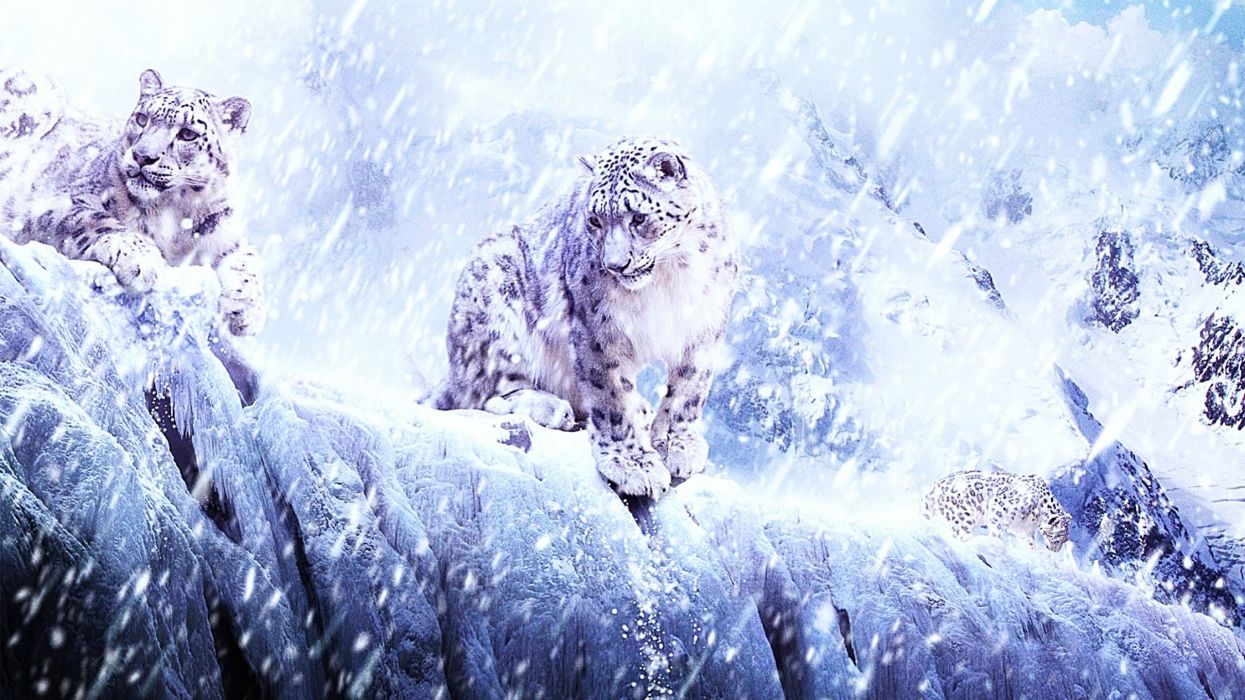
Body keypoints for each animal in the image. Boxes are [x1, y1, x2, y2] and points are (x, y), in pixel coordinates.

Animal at [0, 68, 264, 336]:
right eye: (142, 119)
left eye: (188, 134)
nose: (142, 156)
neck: (175, 213)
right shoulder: (60, 202)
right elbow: (98, 221)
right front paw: (142, 261)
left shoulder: (224, 232)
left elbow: (249, 261)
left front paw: (246, 311)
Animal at [433, 136, 739, 499]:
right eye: (594, 221)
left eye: (638, 217)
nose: (615, 264)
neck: (670, 275)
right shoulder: (597, 327)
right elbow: (610, 396)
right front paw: (631, 465)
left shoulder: (705, 326)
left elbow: (690, 389)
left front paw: (676, 444)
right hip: (495, 293)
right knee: (485, 391)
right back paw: (553, 408)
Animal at [922, 470, 1073, 551]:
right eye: (1059, 536)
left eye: (1065, 539)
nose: (1055, 550)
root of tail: (933, 487)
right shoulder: (1000, 508)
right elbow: (997, 532)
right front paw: (996, 544)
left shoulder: (1025, 530)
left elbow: (1029, 544)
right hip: (963, 515)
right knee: (959, 533)